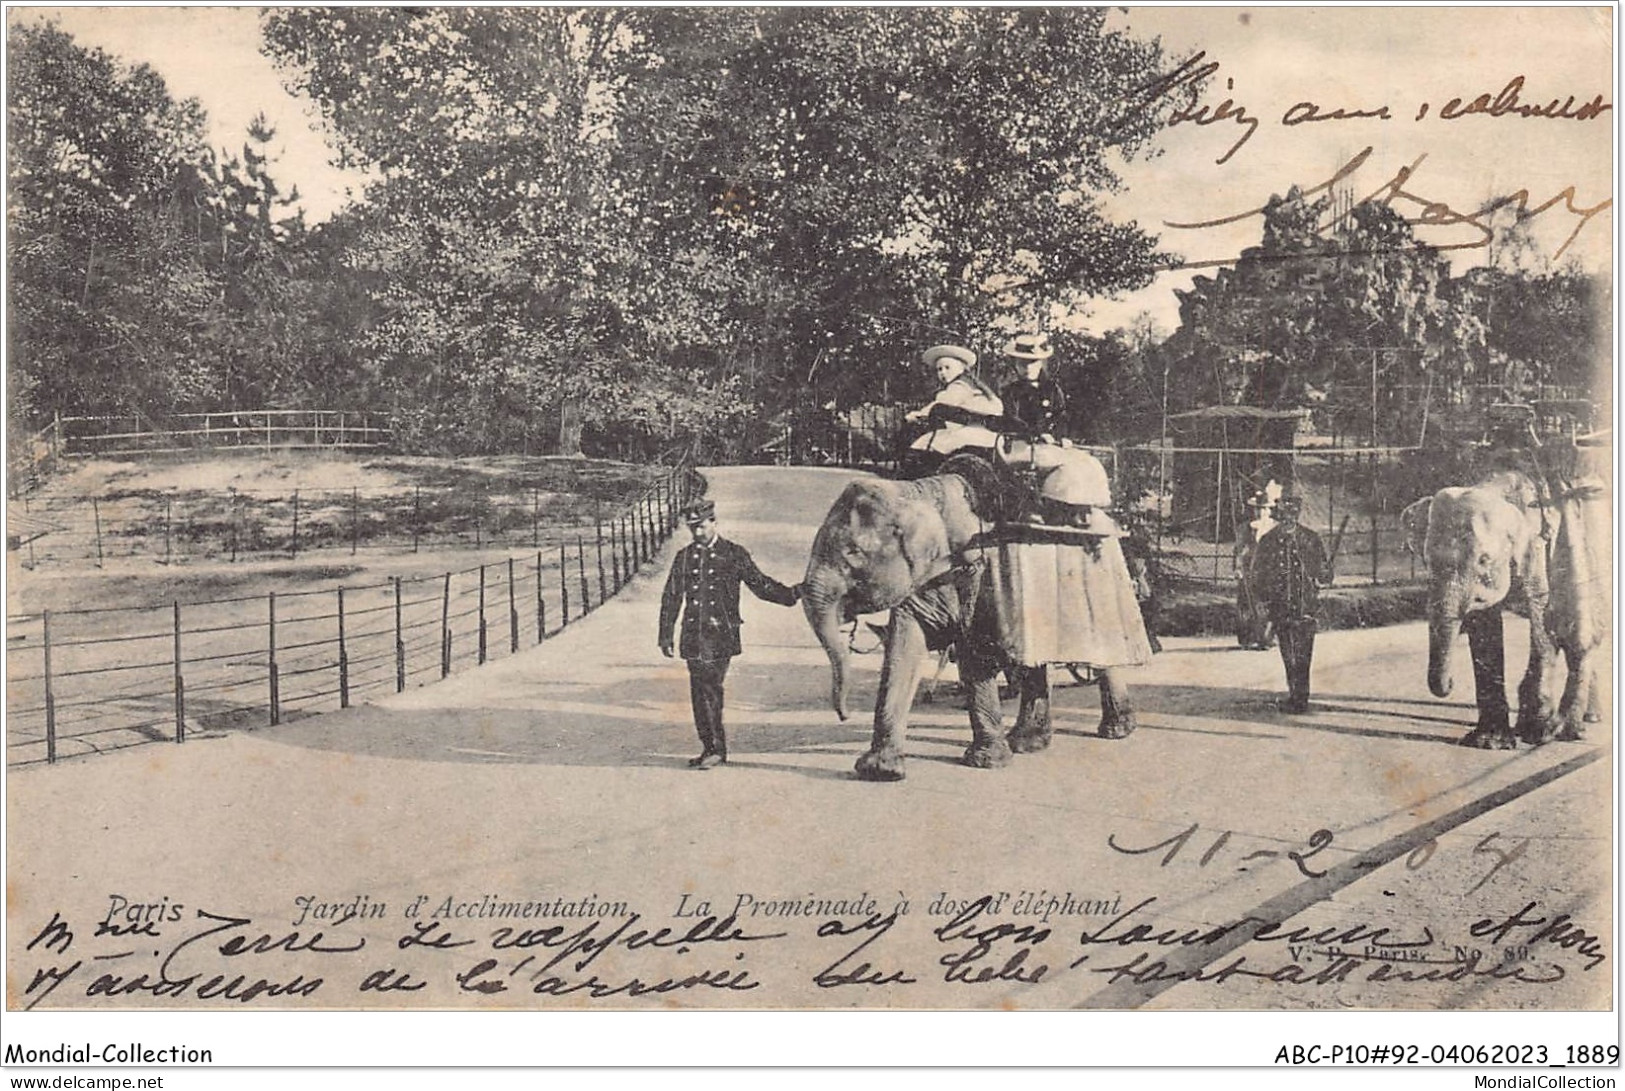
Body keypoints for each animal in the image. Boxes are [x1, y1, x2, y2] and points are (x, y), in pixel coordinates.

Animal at [799, 455, 1144, 780]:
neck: (919, 492)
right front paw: (881, 771)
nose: (843, 715)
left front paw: (986, 762)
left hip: (1105, 576)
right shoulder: (925, 580)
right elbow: (902, 648)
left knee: (1104, 655)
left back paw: (1115, 732)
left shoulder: (980, 568)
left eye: (853, 554)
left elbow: (973, 650)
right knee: (1034, 660)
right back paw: (1027, 743)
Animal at [1397, 452, 1612, 751]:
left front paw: (1537, 733)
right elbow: (1485, 628)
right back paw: (1587, 720)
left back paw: (1573, 729)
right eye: (1427, 560)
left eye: (1484, 559)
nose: (1450, 683)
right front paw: (1489, 742)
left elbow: (1542, 618)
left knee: (1581, 633)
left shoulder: (1538, 548)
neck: (1493, 485)